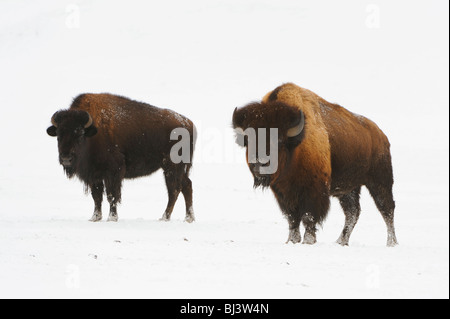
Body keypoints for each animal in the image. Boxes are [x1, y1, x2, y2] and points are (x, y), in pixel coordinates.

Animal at [46, 94, 196, 224]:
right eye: (59, 135)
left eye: (79, 134)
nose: (66, 158)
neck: (93, 133)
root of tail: (188, 123)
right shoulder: (95, 176)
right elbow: (97, 197)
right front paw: (95, 218)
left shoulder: (113, 173)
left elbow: (111, 195)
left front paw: (112, 218)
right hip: (175, 168)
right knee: (186, 186)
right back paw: (188, 218)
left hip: (172, 167)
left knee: (174, 190)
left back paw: (165, 217)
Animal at [232, 83, 398, 248]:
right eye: (248, 140)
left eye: (279, 140)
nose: (260, 162)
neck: (295, 147)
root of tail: (381, 135)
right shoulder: (283, 193)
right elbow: (292, 218)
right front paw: (292, 240)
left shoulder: (313, 191)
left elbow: (308, 216)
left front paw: (308, 241)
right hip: (348, 189)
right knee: (353, 212)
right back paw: (341, 241)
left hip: (380, 181)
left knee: (387, 209)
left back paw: (391, 243)